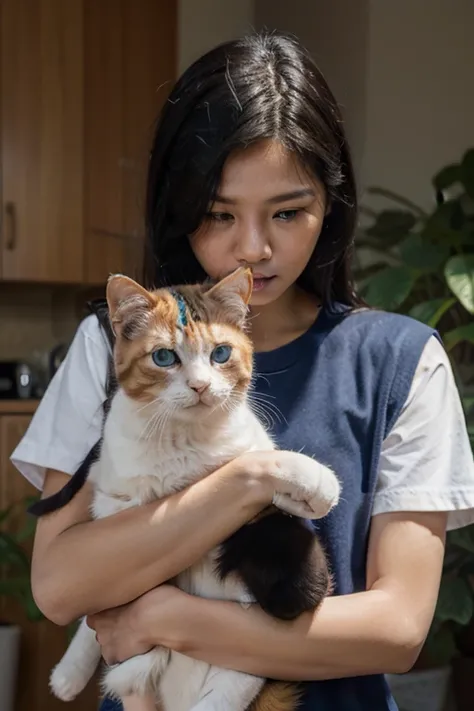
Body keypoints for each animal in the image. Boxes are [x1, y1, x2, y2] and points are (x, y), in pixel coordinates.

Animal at [49, 268, 340, 711]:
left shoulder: (248, 458)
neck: (184, 444)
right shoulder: (115, 504)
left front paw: (314, 485)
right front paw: (83, 665)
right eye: (164, 357)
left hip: (239, 673)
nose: (201, 386)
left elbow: (261, 461)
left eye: (220, 353)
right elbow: (103, 603)